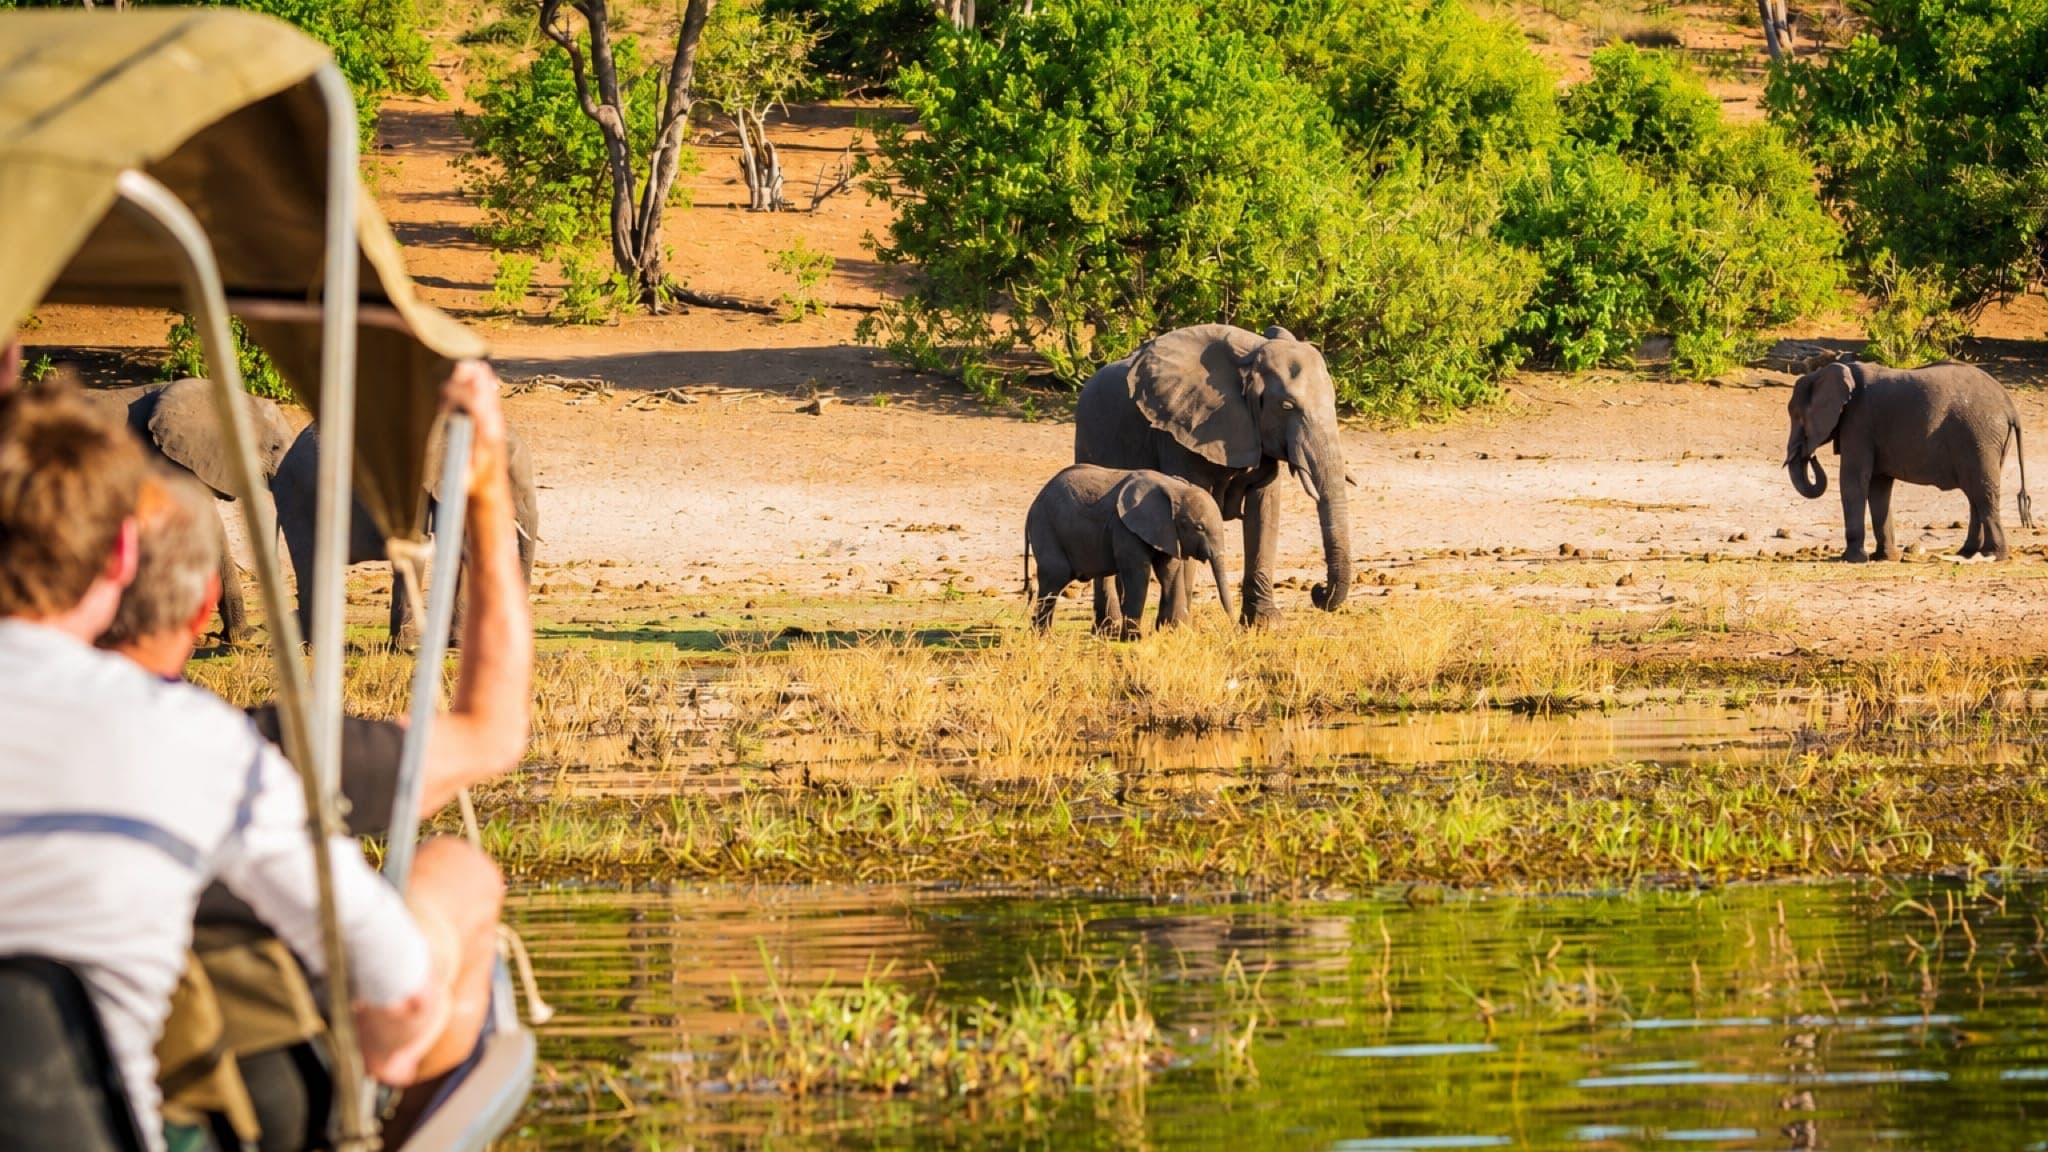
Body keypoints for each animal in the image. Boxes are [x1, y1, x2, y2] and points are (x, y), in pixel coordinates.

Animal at [1025, 465, 1234, 635]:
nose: (1233, 628)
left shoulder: (1167, 531)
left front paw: (1172, 634)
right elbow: (1139, 572)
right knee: (1055, 577)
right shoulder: (1125, 528)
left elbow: (1169, 572)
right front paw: (1133, 639)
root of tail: (1033, 505)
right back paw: (1043, 636)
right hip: (1046, 527)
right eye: (1199, 527)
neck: (1174, 488)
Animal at [1075, 323, 1351, 626]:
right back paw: (1110, 627)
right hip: (1088, 439)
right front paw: (1178, 627)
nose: (1318, 591)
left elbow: (1264, 510)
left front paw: (1265, 625)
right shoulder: (1178, 430)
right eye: (1286, 406)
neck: (1249, 358)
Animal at [1786, 355, 2034, 562]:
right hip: (1988, 441)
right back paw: (1967, 552)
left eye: (1797, 416)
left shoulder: (1858, 424)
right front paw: (1883, 558)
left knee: (1982, 491)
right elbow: (1879, 487)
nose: (1810, 455)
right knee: (1976, 493)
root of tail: (2010, 406)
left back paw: (1992, 555)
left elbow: (1853, 480)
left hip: (1979, 436)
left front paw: (1852, 559)